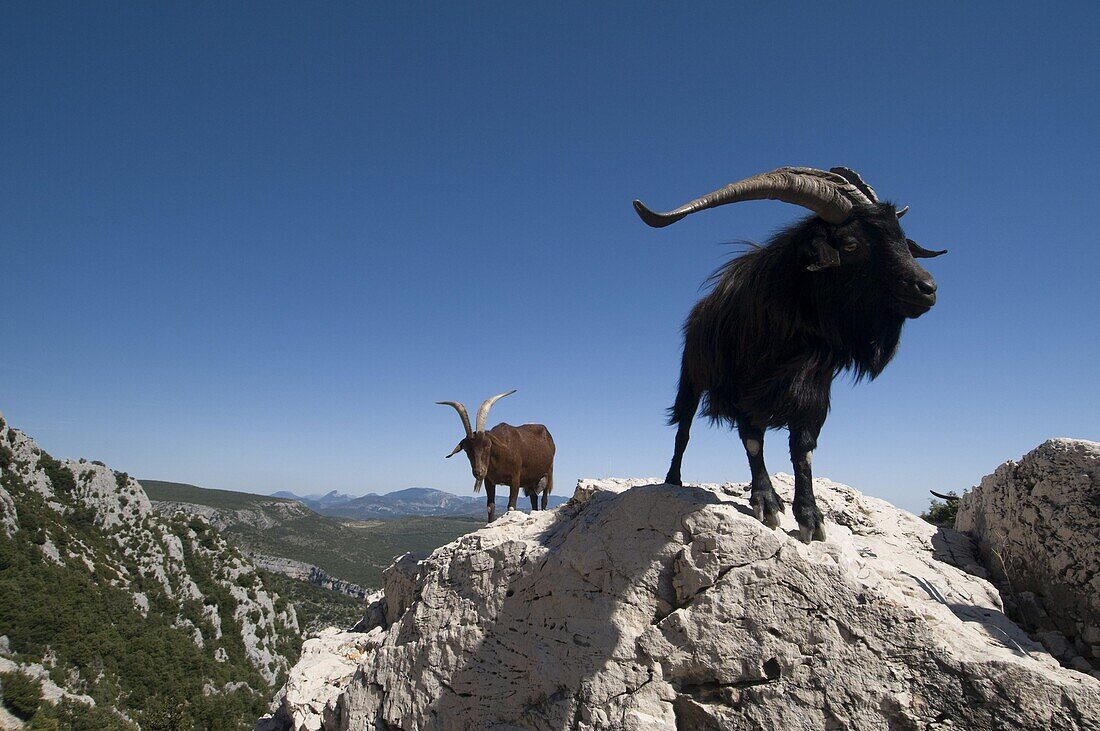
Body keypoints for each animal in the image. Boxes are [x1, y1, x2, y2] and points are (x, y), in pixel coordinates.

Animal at [638, 167, 946, 540]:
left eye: (902, 238)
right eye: (851, 244)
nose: (927, 289)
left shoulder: (812, 390)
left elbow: (803, 448)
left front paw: (809, 516)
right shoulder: (740, 388)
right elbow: (752, 440)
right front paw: (767, 501)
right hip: (692, 377)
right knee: (683, 429)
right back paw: (674, 479)